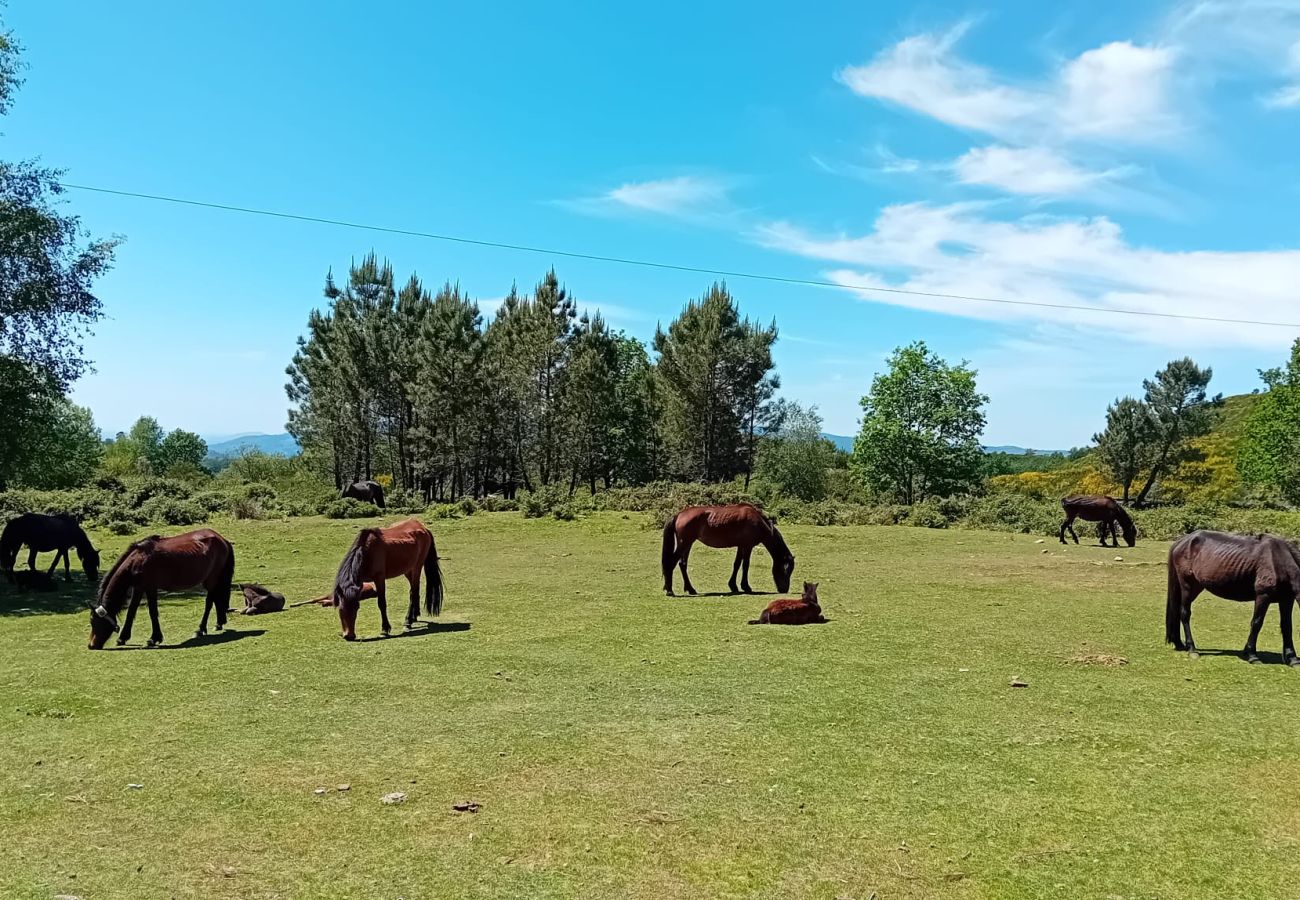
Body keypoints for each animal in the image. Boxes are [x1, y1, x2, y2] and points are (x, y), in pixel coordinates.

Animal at [89, 530, 236, 650]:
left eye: (94, 622)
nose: (91, 645)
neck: (138, 559)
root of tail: (222, 540)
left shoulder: (151, 588)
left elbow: (153, 612)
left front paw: (154, 638)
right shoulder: (139, 588)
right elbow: (131, 611)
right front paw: (122, 638)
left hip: (212, 579)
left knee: (209, 601)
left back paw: (201, 629)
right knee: (216, 597)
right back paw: (219, 623)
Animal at [660, 507, 790, 598]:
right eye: (786, 571)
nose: (785, 589)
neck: (757, 522)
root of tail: (679, 515)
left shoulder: (741, 546)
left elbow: (737, 564)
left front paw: (733, 586)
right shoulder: (747, 546)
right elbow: (745, 565)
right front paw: (746, 586)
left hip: (687, 544)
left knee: (682, 564)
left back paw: (690, 589)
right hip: (684, 543)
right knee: (671, 564)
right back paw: (670, 591)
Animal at [1164, 530, 1300, 663]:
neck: (1280, 559)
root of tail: (1183, 540)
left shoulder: (1287, 599)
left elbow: (1287, 626)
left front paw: (1292, 658)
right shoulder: (1263, 596)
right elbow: (1256, 623)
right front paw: (1252, 655)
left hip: (1195, 587)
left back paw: (1179, 643)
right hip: (1187, 586)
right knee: (1184, 614)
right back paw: (1192, 648)